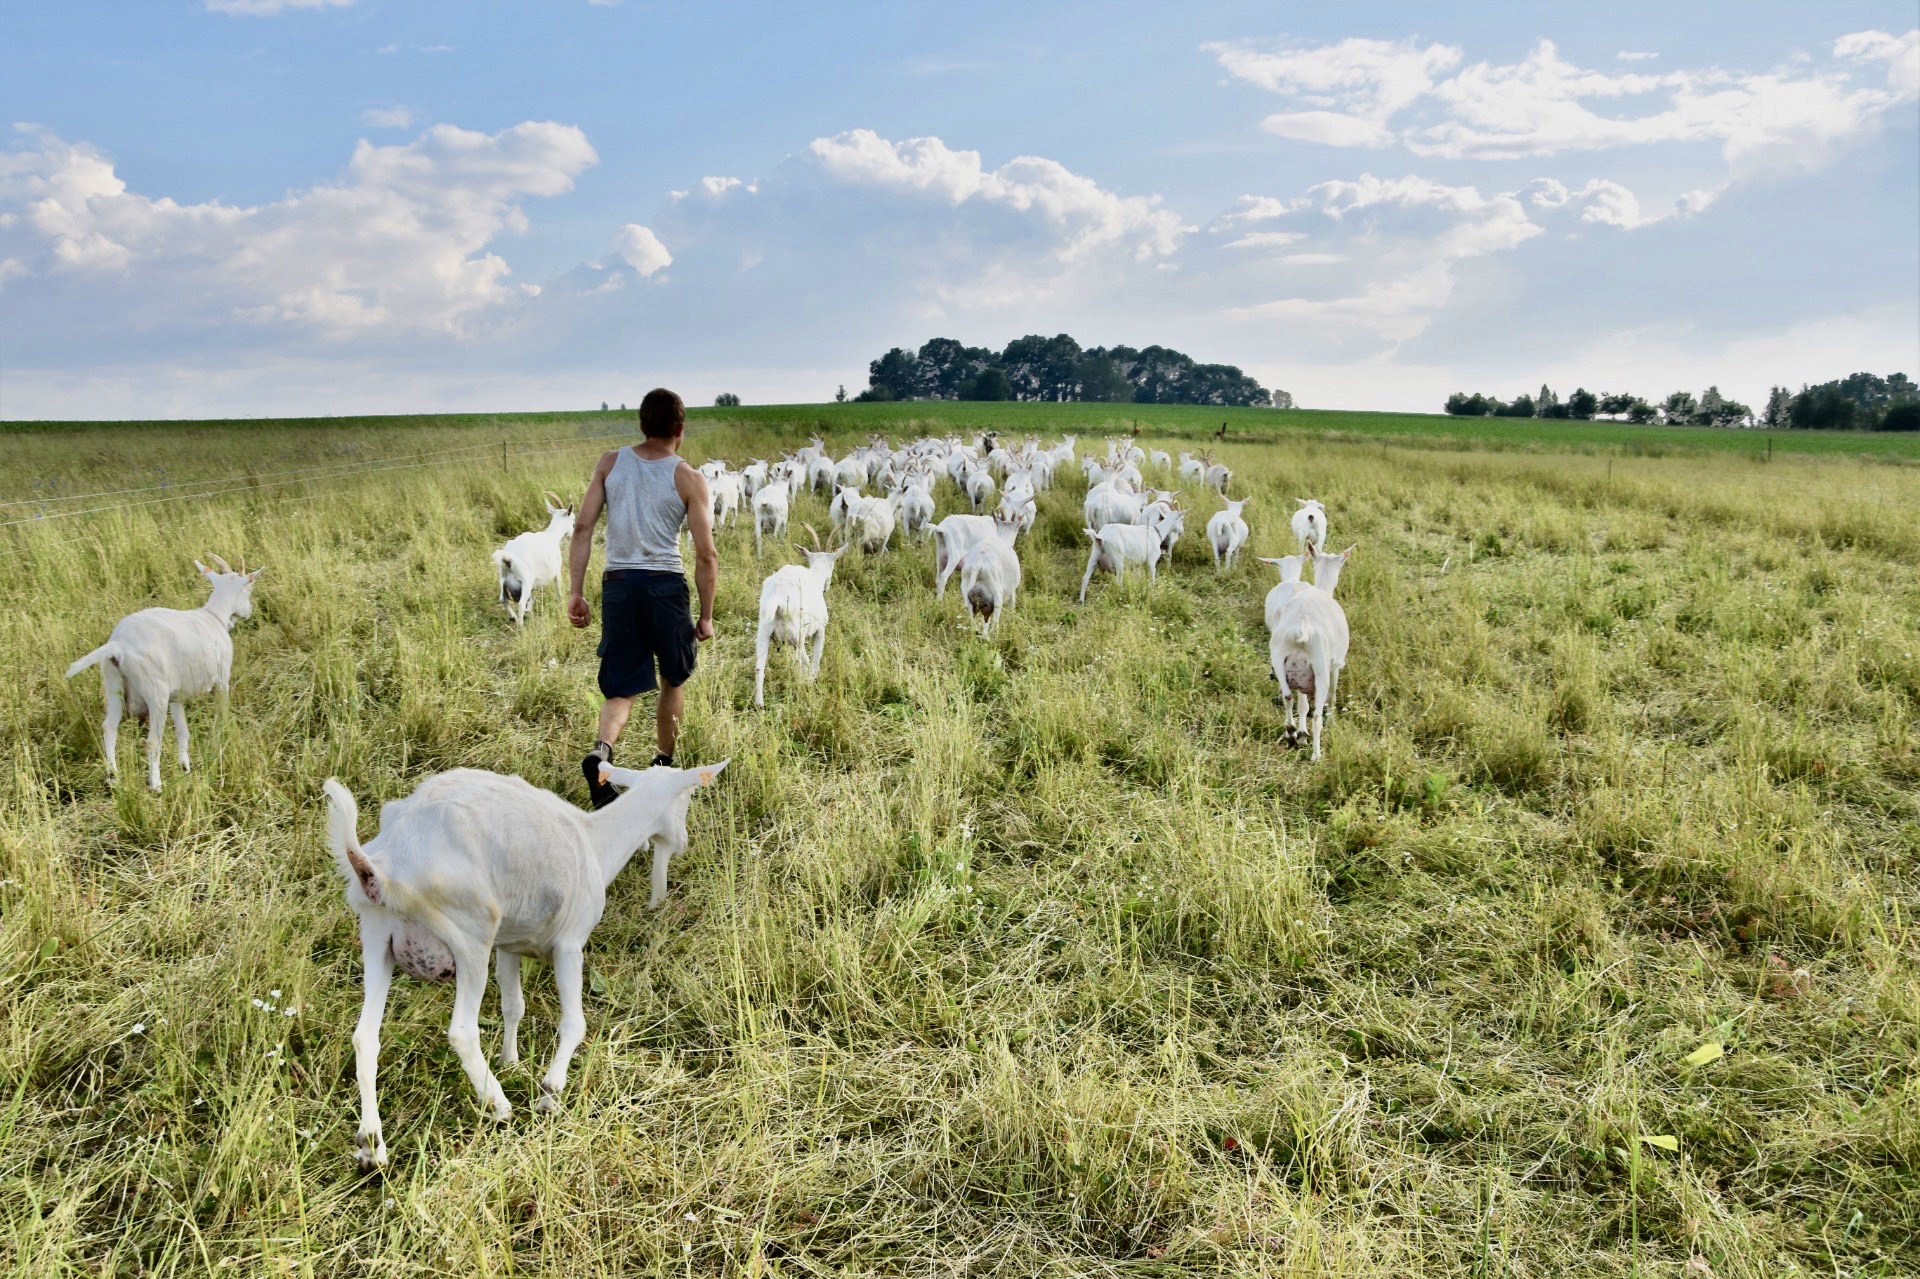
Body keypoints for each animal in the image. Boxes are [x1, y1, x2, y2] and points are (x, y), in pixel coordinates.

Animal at [64, 556, 263, 787]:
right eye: (248, 589)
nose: (249, 613)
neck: (213, 616)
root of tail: (118, 644)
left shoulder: (177, 696)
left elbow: (183, 732)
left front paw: (185, 767)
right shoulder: (222, 681)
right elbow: (220, 720)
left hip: (113, 687)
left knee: (109, 727)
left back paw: (113, 777)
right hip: (155, 692)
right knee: (152, 741)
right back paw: (156, 784)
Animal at [324, 756, 725, 1167]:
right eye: (688, 797)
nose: (683, 843)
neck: (596, 842)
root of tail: (382, 865)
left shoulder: (511, 943)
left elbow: (513, 1006)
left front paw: (511, 1061)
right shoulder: (569, 944)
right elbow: (574, 1023)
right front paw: (550, 1091)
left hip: (377, 936)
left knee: (365, 1037)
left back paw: (371, 1146)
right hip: (469, 935)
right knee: (462, 1031)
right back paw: (498, 1105)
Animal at [487, 491, 568, 622]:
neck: (552, 536)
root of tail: (508, 560)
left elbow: (532, 597)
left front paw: (528, 611)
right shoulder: (557, 571)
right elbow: (559, 590)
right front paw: (562, 604)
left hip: (503, 578)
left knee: (503, 599)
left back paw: (513, 617)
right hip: (525, 581)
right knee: (520, 604)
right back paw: (520, 625)